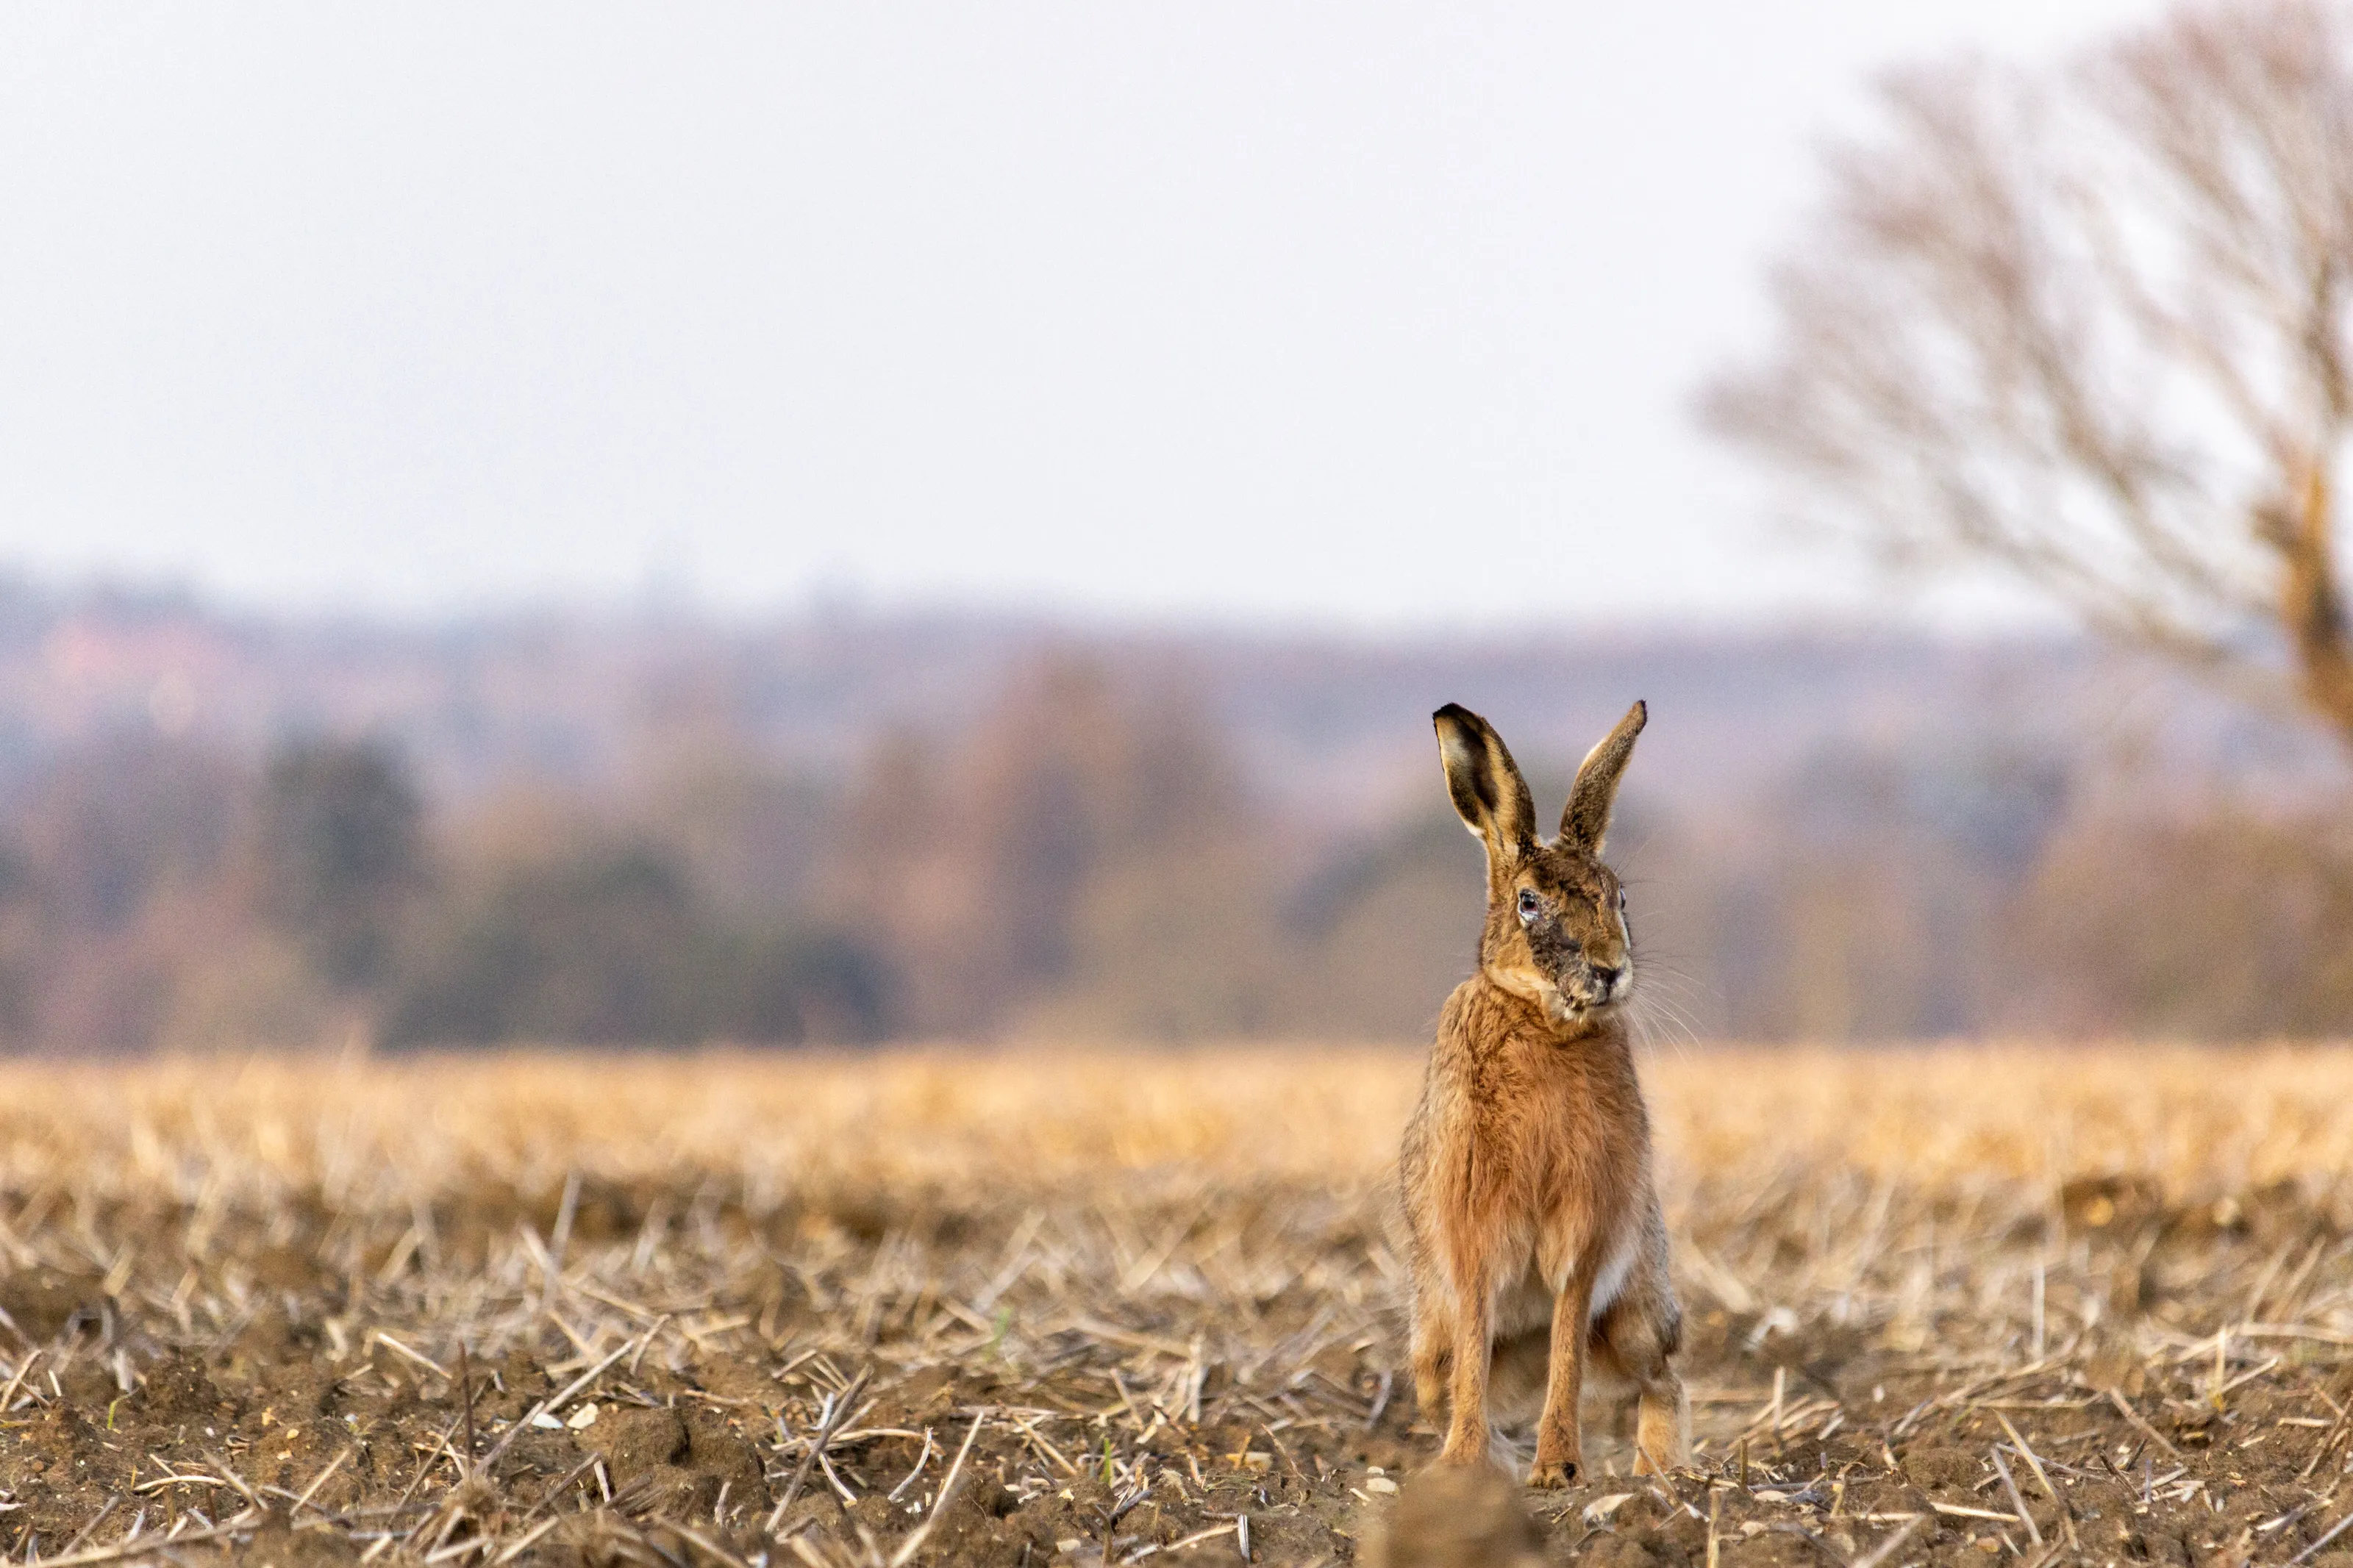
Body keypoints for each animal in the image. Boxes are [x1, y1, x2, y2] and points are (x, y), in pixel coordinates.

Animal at [1397, 699, 1688, 1486]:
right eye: (1528, 902)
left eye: (1620, 898)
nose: (1610, 969)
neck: (1545, 1021)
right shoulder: (1471, 1231)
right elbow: (1475, 1343)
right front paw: (1464, 1464)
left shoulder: (1586, 1227)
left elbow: (1567, 1342)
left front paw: (1558, 1467)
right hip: (1425, 1343)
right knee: (1447, 1382)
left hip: (1638, 1313)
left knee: (1662, 1378)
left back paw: (1660, 1476)